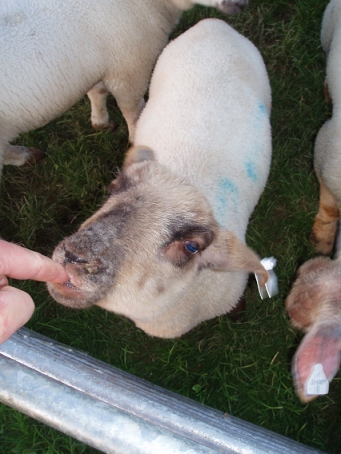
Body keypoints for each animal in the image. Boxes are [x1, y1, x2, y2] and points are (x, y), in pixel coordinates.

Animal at [0, 0, 247, 181]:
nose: (242, 3)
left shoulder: (103, 66)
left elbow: (97, 91)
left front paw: (100, 121)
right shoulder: (130, 68)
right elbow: (133, 110)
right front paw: (136, 140)